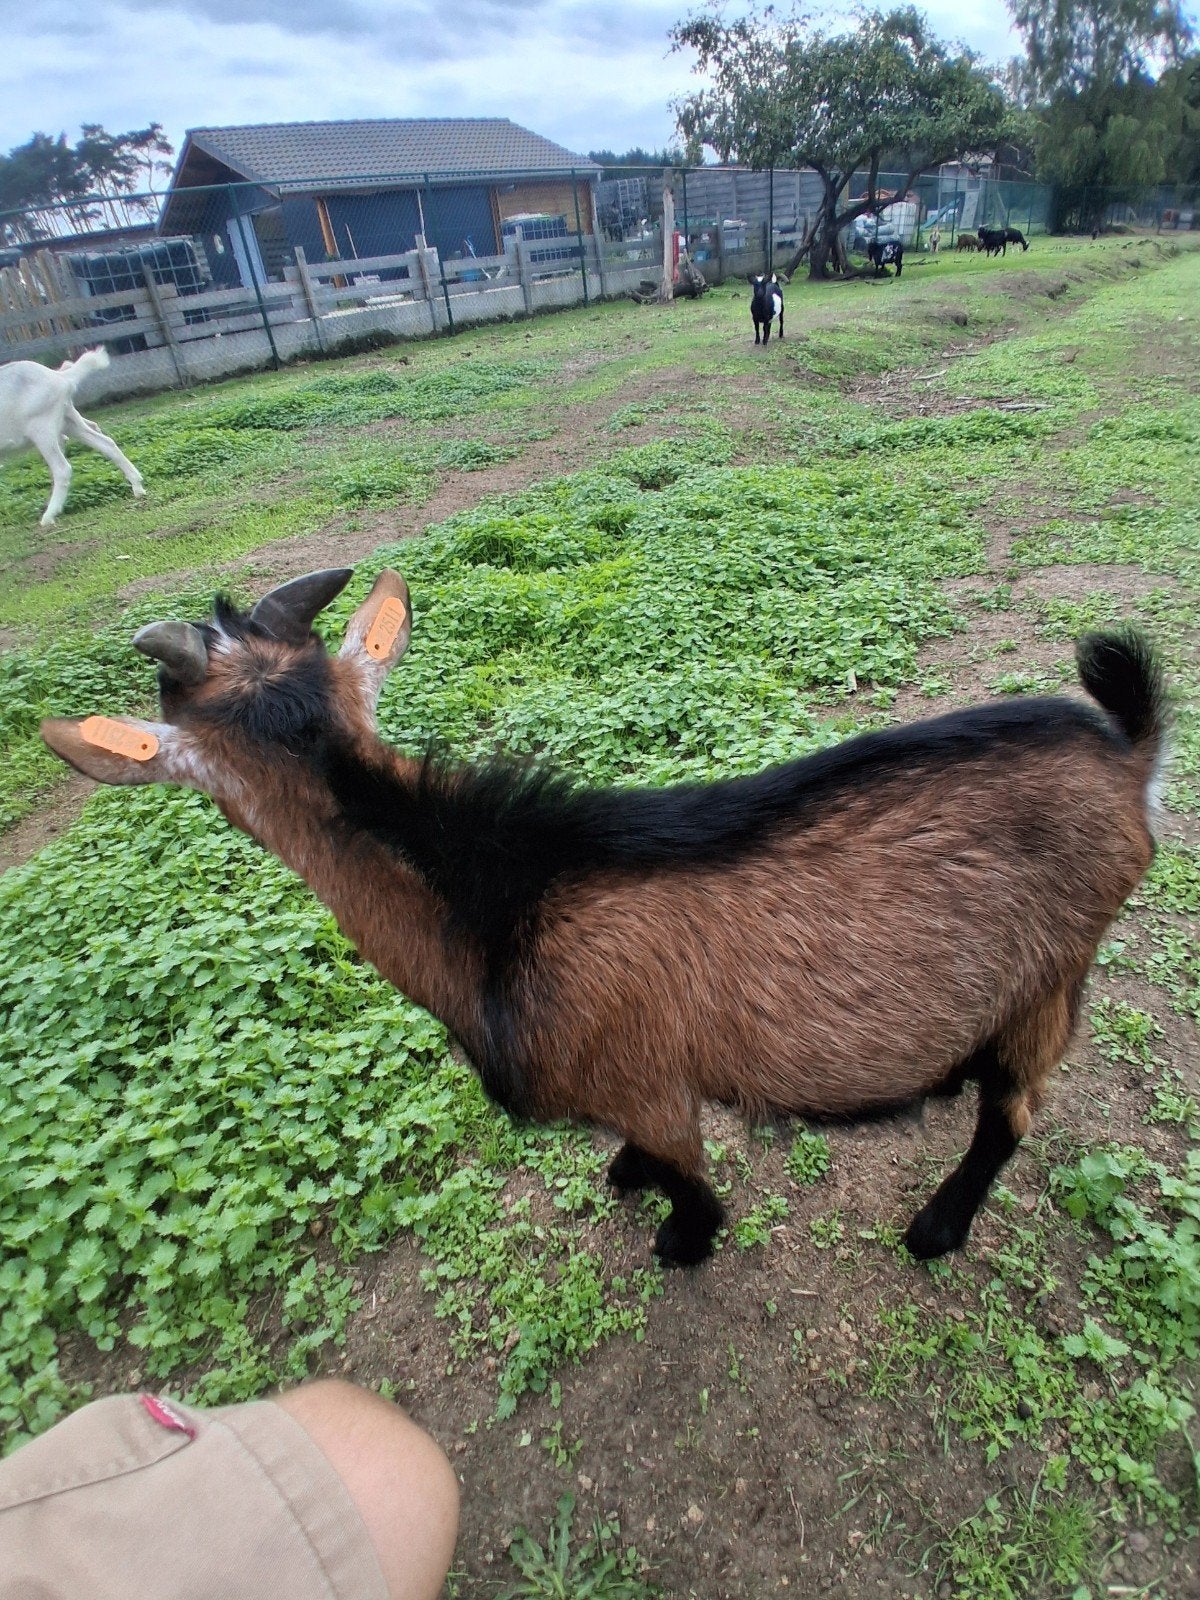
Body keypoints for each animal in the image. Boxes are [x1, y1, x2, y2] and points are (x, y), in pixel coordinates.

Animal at [0, 347, 144, 527]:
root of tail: (60, 377)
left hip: (42, 428)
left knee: (62, 468)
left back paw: (49, 516)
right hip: (68, 421)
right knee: (106, 443)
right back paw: (137, 486)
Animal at [41, 569, 1165, 1268]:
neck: (503, 907)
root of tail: (1127, 752)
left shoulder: (644, 1079)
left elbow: (690, 1183)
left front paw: (677, 1237)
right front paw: (625, 1175)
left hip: (1052, 971)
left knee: (1012, 1113)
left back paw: (935, 1230)